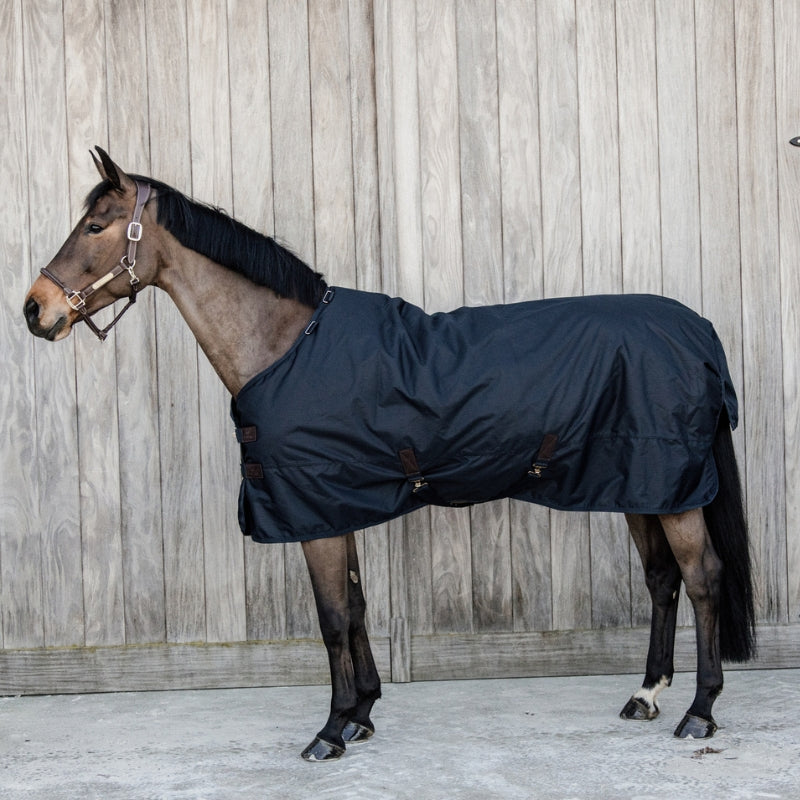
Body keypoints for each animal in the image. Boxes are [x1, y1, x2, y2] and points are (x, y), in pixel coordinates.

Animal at [21, 148, 752, 764]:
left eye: (95, 226)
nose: (35, 309)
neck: (287, 346)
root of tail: (698, 331)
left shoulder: (313, 512)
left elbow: (331, 618)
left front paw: (329, 730)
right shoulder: (334, 506)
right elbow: (357, 605)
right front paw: (361, 715)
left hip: (673, 491)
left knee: (703, 579)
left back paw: (699, 712)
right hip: (641, 487)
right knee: (662, 580)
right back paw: (646, 695)